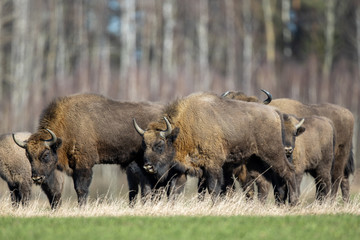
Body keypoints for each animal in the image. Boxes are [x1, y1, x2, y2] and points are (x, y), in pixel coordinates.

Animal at [12, 93, 166, 205]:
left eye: (45, 154)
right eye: (28, 156)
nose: (36, 177)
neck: (68, 124)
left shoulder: (84, 165)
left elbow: (82, 189)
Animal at [134, 92, 300, 204]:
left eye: (160, 145)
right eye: (144, 144)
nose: (147, 166)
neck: (184, 128)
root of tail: (274, 112)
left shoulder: (213, 166)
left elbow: (214, 188)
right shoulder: (182, 169)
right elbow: (175, 190)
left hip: (273, 154)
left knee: (288, 171)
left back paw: (293, 202)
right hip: (255, 160)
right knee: (263, 182)